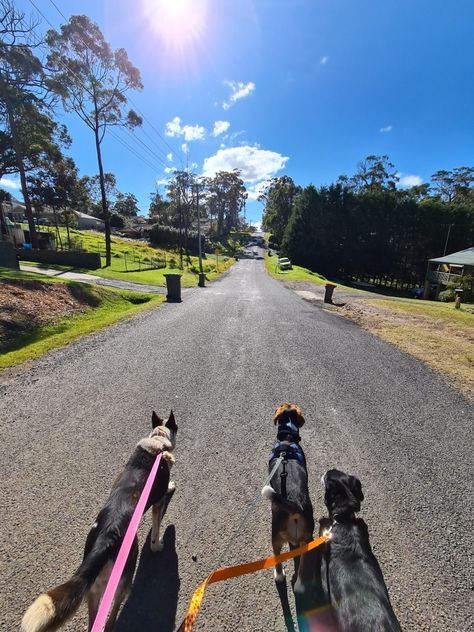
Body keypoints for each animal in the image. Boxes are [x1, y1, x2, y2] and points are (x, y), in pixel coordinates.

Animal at [21, 410, 178, 632]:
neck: (157, 442)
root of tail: (106, 538)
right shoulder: (158, 502)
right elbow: (156, 529)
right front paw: (158, 545)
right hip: (122, 581)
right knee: (111, 617)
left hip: (94, 591)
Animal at [260, 404, 314, 592]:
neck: (287, 438)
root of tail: (295, 504)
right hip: (306, 538)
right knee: (303, 566)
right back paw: (300, 585)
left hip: (275, 536)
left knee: (277, 559)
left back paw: (279, 575)